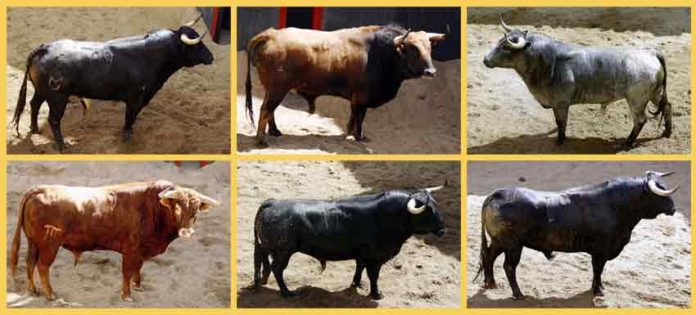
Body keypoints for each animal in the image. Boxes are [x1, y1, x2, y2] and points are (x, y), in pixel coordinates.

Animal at [8, 180, 220, 302]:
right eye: (177, 207)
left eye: (196, 210)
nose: (186, 232)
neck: (156, 208)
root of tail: (39, 189)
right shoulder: (131, 250)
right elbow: (127, 272)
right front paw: (126, 296)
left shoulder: (140, 250)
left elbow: (138, 269)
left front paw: (138, 286)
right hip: (49, 245)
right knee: (42, 266)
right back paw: (51, 295)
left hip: (34, 242)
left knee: (29, 262)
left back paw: (33, 289)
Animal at [12, 17, 213, 152]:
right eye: (197, 45)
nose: (211, 57)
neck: (152, 56)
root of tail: (44, 48)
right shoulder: (135, 99)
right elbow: (129, 119)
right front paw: (127, 140)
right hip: (57, 97)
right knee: (53, 119)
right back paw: (62, 145)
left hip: (42, 91)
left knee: (34, 104)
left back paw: (35, 130)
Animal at [245, 24, 446, 148]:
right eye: (413, 48)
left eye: (429, 48)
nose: (431, 72)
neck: (382, 53)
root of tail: (271, 34)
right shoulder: (363, 97)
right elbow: (360, 117)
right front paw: (359, 136)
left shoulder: (355, 98)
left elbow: (352, 116)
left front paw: (349, 134)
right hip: (277, 89)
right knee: (266, 109)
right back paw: (261, 140)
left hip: (273, 90)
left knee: (269, 109)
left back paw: (275, 132)